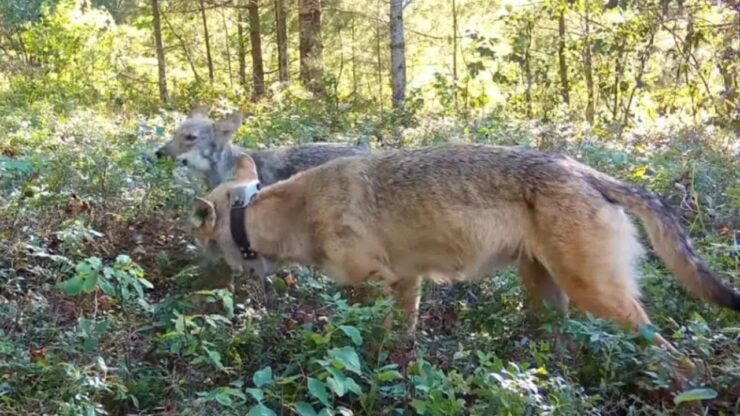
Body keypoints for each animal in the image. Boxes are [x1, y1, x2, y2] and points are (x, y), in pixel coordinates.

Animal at [192, 143, 740, 352]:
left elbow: (379, 342)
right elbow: (403, 343)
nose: (198, 288)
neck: (294, 212)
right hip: (547, 298)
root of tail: (585, 171)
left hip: (599, 298)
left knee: (675, 357)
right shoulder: (407, 283)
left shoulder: (384, 282)